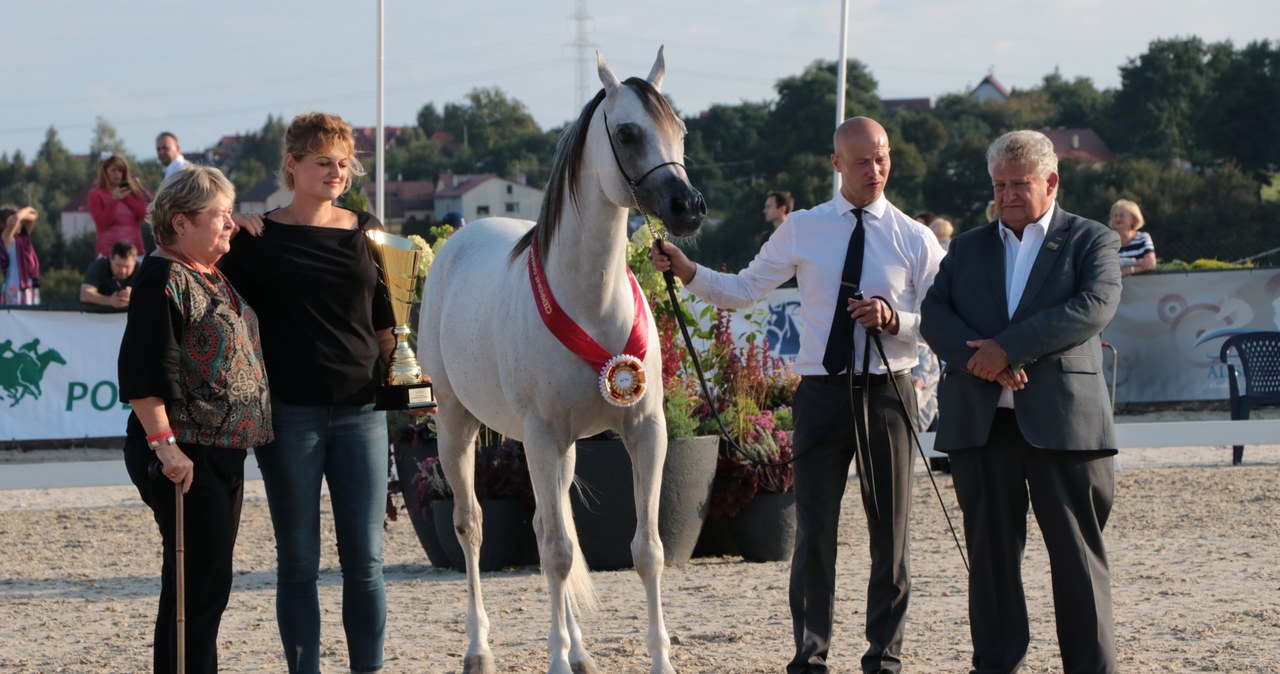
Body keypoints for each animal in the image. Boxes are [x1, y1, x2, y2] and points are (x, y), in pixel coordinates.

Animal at [417, 48, 701, 674]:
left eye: (680, 130)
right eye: (628, 132)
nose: (688, 208)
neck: (591, 303)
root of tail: (459, 239)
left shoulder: (645, 432)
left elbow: (645, 550)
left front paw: (657, 659)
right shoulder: (543, 436)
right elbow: (554, 555)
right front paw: (554, 659)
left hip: (560, 448)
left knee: (551, 521)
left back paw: (580, 652)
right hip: (458, 423)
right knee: (472, 527)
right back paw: (479, 649)